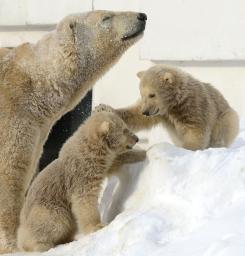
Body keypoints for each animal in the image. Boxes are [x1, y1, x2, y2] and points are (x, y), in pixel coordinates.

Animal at [0, 10, 146, 252]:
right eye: (106, 17)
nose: (141, 16)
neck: (36, 80)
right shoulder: (13, 115)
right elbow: (9, 173)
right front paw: (11, 245)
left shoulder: (37, 131)